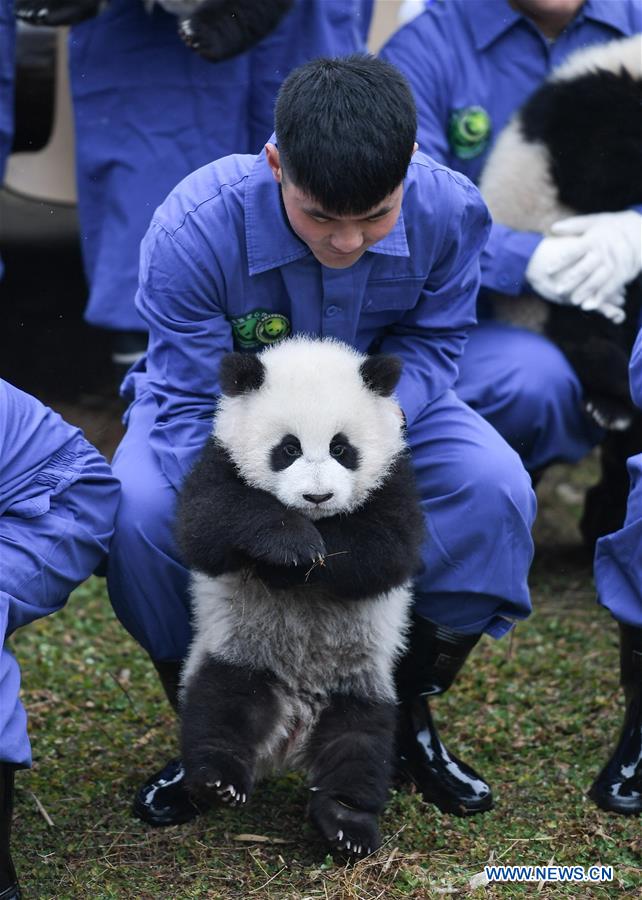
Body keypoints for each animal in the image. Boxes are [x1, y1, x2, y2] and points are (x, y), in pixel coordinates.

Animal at [175, 337, 425, 857]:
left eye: (341, 448)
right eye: (287, 449)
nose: (317, 497)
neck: (319, 520)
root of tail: (295, 722)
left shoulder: (395, 480)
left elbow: (386, 550)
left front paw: (303, 563)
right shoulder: (220, 460)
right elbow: (206, 524)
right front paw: (288, 548)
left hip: (362, 686)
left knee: (361, 747)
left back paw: (346, 821)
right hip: (239, 655)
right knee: (220, 708)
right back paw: (218, 779)